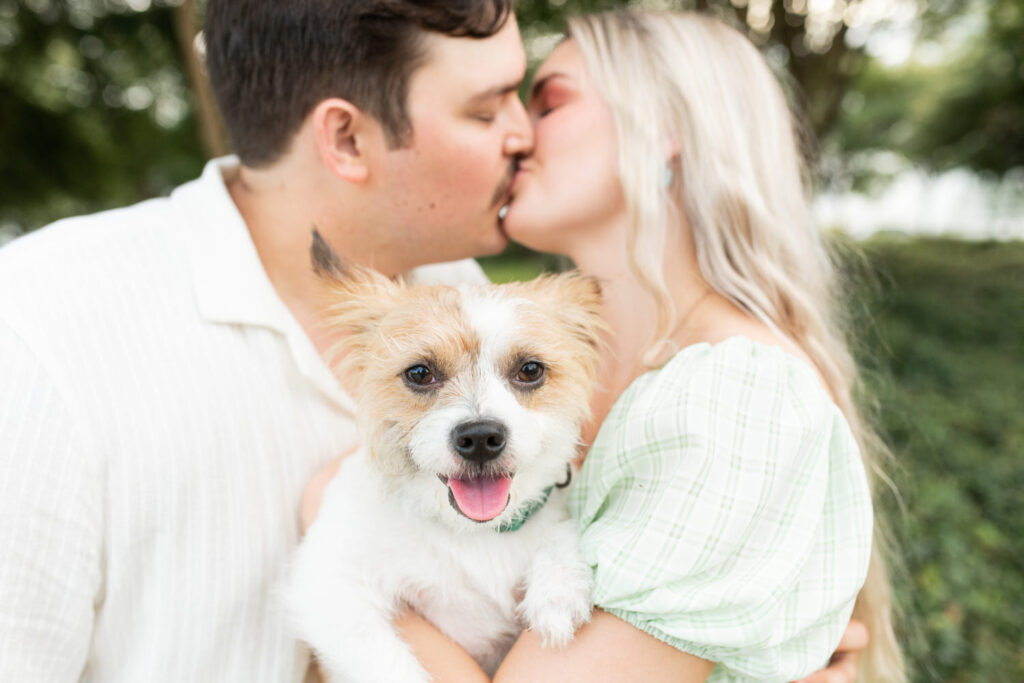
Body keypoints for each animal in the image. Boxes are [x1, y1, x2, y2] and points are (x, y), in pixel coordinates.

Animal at [286, 232, 606, 679]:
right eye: (420, 373)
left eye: (529, 370)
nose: (481, 437)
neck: (474, 536)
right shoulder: (327, 586)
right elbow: (389, 666)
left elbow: (561, 530)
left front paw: (558, 590)